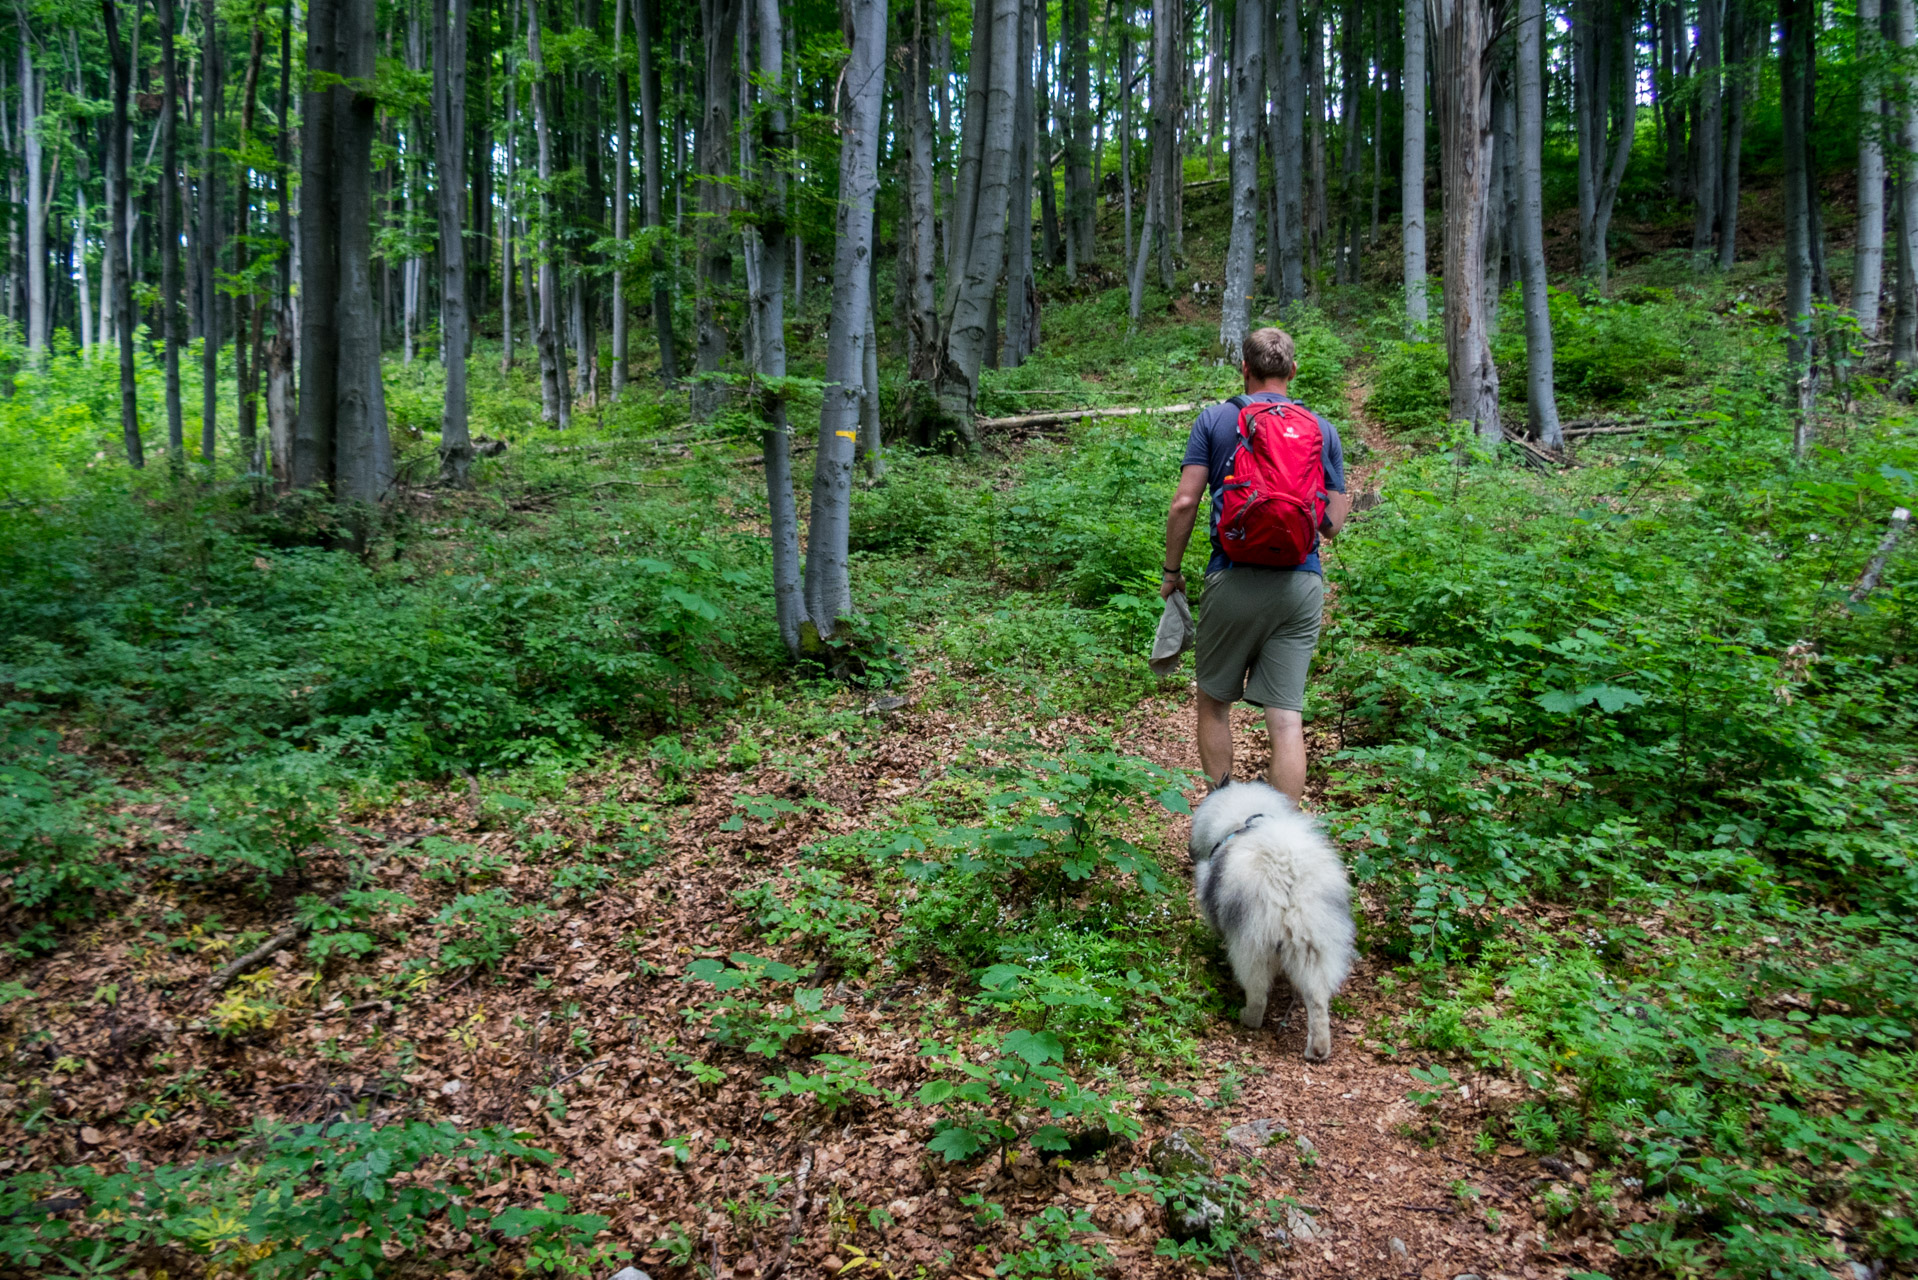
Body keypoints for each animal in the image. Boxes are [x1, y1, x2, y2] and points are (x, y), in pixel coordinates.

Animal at [1189, 782, 1357, 1059]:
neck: (1244, 819)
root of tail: (1287, 876)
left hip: (1252, 946)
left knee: (1258, 996)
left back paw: (1247, 1018)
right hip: (1315, 944)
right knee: (1318, 1001)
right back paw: (1318, 1049)